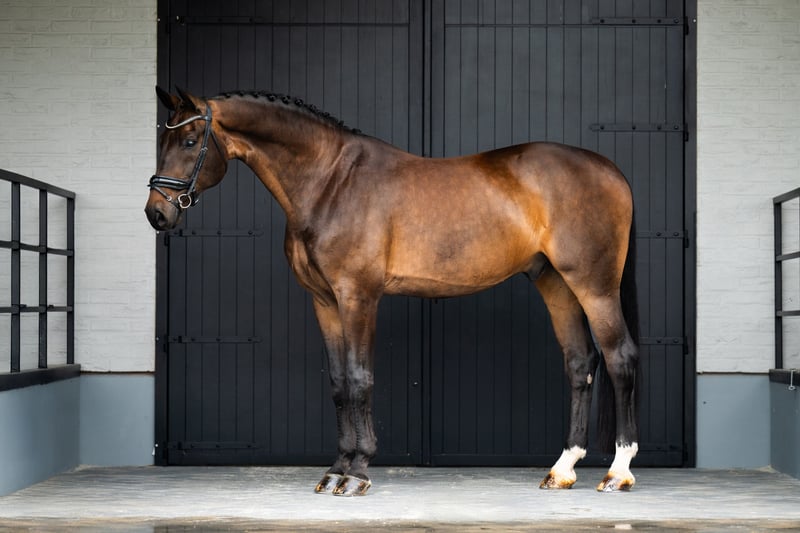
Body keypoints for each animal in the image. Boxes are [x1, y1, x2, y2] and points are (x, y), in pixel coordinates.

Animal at [145, 87, 641, 496]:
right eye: (163, 141)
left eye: (190, 141)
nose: (156, 214)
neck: (330, 182)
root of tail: (610, 169)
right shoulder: (325, 301)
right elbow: (339, 383)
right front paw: (336, 469)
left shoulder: (358, 296)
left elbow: (360, 378)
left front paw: (357, 473)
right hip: (555, 282)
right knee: (580, 363)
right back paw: (563, 469)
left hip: (594, 286)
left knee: (620, 358)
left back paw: (618, 472)